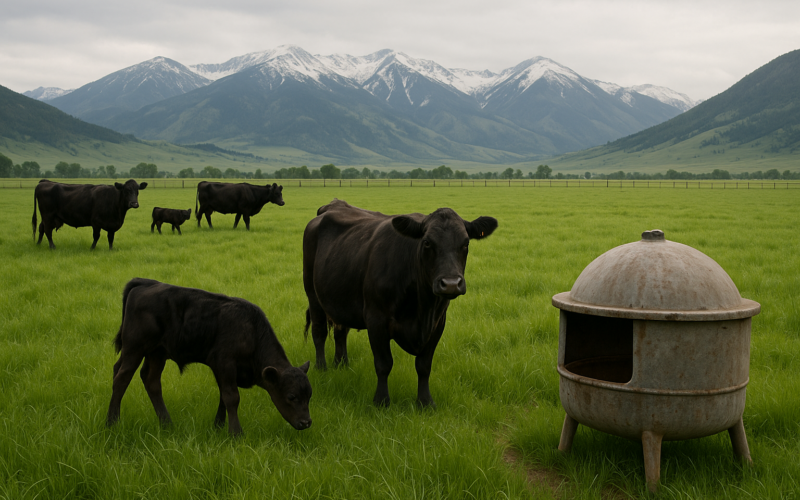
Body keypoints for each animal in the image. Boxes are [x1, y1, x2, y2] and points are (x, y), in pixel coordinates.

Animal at [106, 278, 312, 435]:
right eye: (291, 396)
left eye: (309, 395)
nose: (306, 422)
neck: (251, 331)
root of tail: (145, 283)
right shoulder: (225, 363)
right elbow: (232, 397)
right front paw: (236, 433)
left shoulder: (226, 371)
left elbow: (223, 396)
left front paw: (218, 426)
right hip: (134, 348)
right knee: (121, 378)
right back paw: (112, 422)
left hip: (157, 353)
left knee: (151, 381)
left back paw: (167, 424)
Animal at [303, 199, 497, 408]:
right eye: (427, 242)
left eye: (466, 243)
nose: (451, 283)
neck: (422, 308)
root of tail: (333, 205)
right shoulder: (376, 319)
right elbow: (383, 364)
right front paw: (381, 401)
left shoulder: (438, 323)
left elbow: (424, 365)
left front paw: (425, 402)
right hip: (313, 294)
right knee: (319, 332)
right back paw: (321, 368)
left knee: (340, 332)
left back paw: (341, 364)